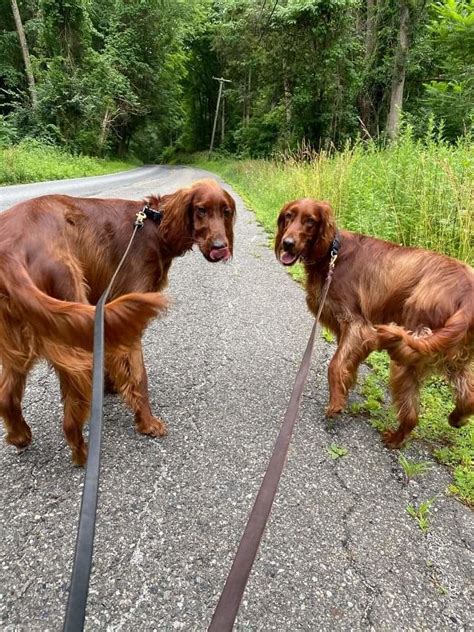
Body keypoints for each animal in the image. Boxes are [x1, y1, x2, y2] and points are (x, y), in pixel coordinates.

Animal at [0, 178, 235, 464]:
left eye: (225, 211)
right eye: (201, 210)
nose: (220, 247)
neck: (155, 225)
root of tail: (10, 251)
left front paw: (111, 386)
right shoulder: (127, 312)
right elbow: (138, 375)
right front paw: (147, 423)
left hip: (26, 331)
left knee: (6, 394)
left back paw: (20, 435)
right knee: (72, 398)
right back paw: (81, 451)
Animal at [276, 200, 472, 446]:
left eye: (310, 221)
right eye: (288, 216)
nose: (287, 243)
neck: (333, 255)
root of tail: (466, 296)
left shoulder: (358, 326)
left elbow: (335, 364)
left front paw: (336, 402)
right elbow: (347, 364)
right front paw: (346, 387)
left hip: (407, 353)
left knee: (412, 414)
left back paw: (394, 438)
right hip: (450, 358)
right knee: (466, 397)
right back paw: (452, 420)